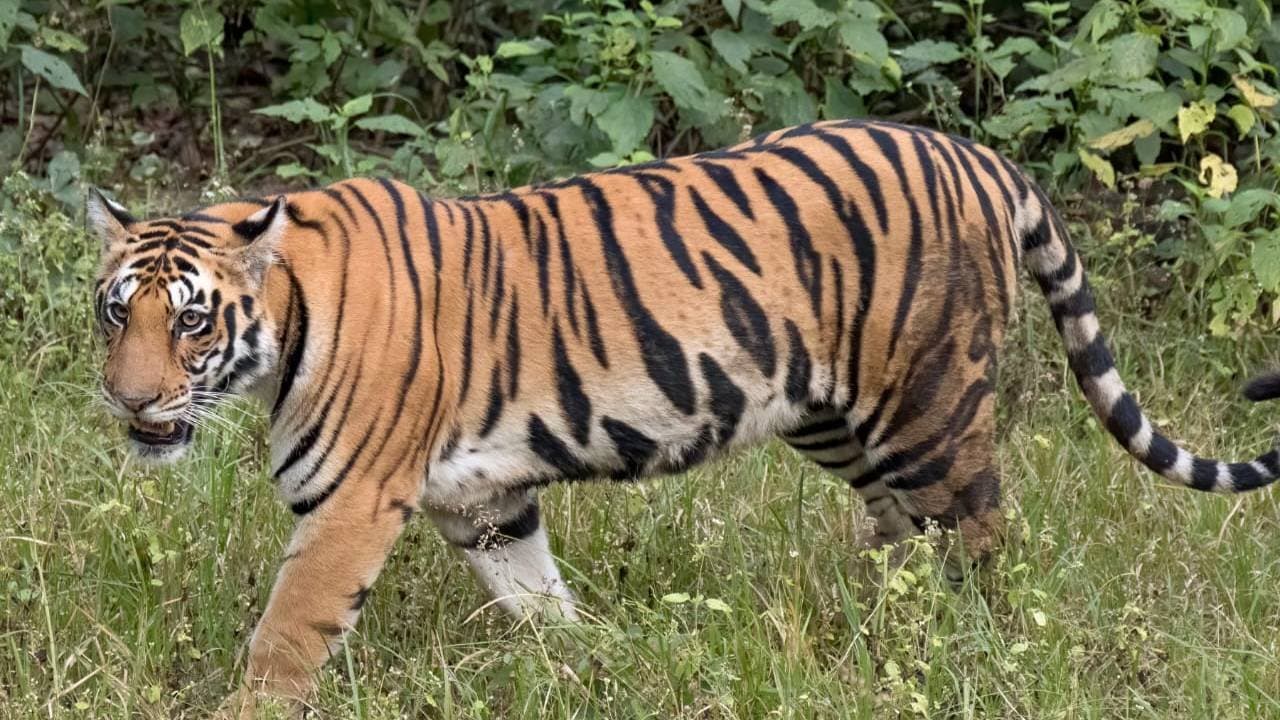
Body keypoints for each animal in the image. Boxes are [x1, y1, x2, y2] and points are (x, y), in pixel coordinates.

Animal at [89, 119, 1279, 714]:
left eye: (191, 321)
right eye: (115, 312)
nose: (130, 399)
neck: (284, 326)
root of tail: (978, 154)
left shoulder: (349, 506)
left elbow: (286, 635)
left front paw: (245, 712)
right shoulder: (485, 503)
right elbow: (538, 600)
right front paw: (591, 667)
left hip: (929, 404)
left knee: (982, 539)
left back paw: (976, 654)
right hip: (833, 417)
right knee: (903, 536)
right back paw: (875, 635)